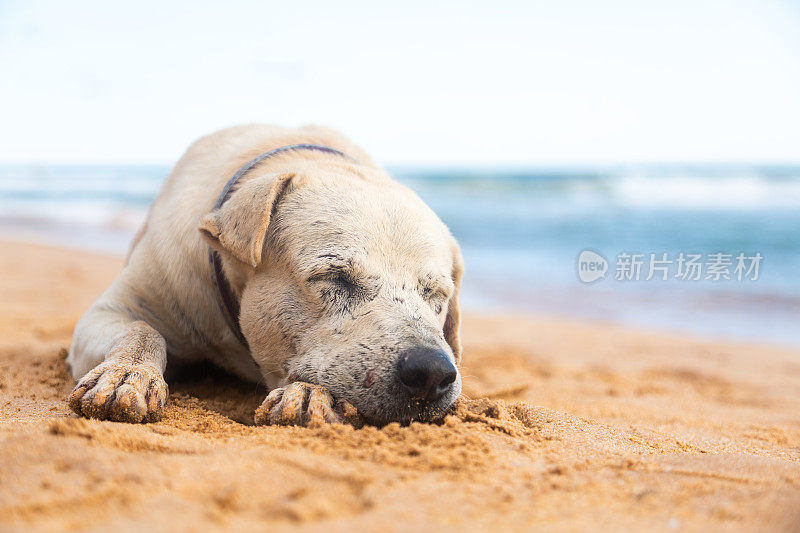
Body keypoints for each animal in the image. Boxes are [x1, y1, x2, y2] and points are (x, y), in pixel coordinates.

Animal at [66, 123, 466, 424]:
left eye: (436, 296)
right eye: (334, 277)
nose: (432, 371)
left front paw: (307, 394)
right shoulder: (117, 307)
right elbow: (142, 330)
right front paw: (126, 376)